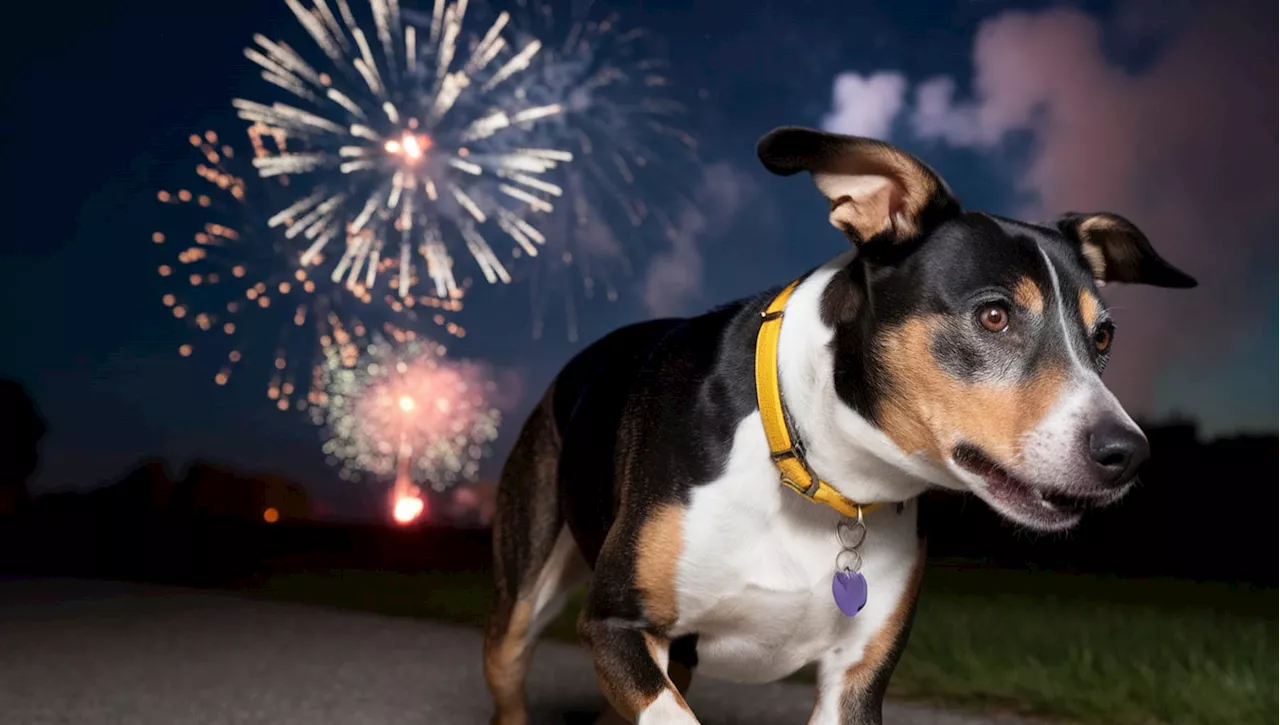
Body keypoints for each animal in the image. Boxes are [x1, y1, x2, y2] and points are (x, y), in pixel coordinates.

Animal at [478, 126, 1187, 725]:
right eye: (994, 316)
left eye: (1103, 338)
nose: (1128, 452)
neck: (816, 468)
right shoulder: (616, 626)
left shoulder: (854, 684)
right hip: (523, 600)